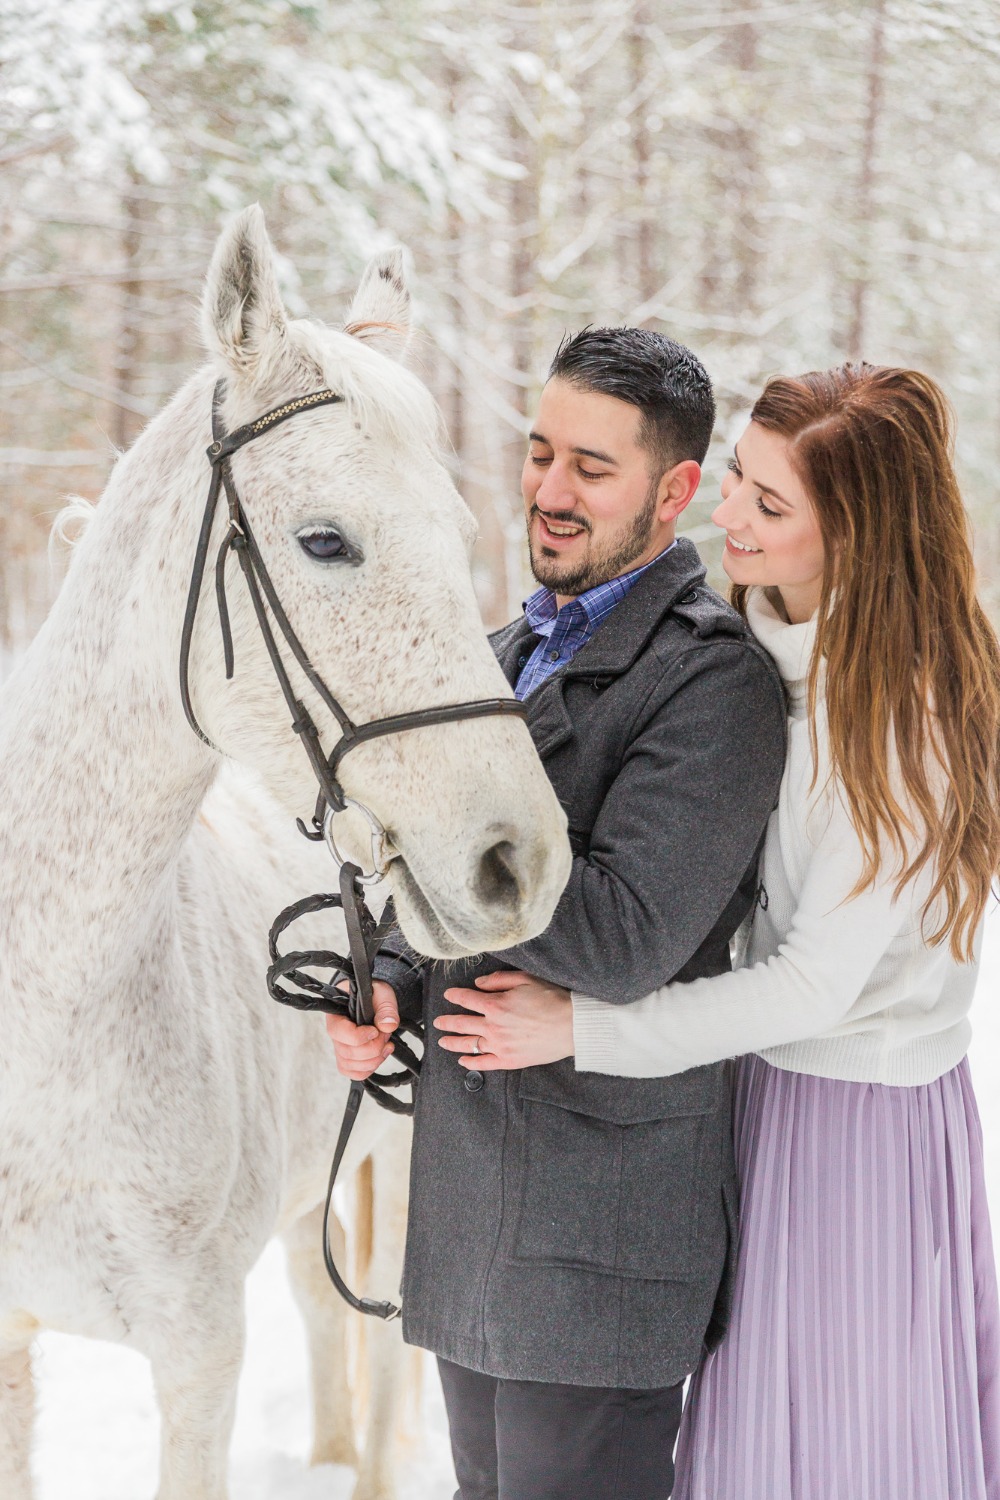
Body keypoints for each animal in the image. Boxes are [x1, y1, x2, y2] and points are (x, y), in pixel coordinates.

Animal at [0, 208, 569, 1500]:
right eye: (324, 541)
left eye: (464, 536)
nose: (522, 859)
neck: (47, 1020)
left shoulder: (198, 1353)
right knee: (320, 1302)